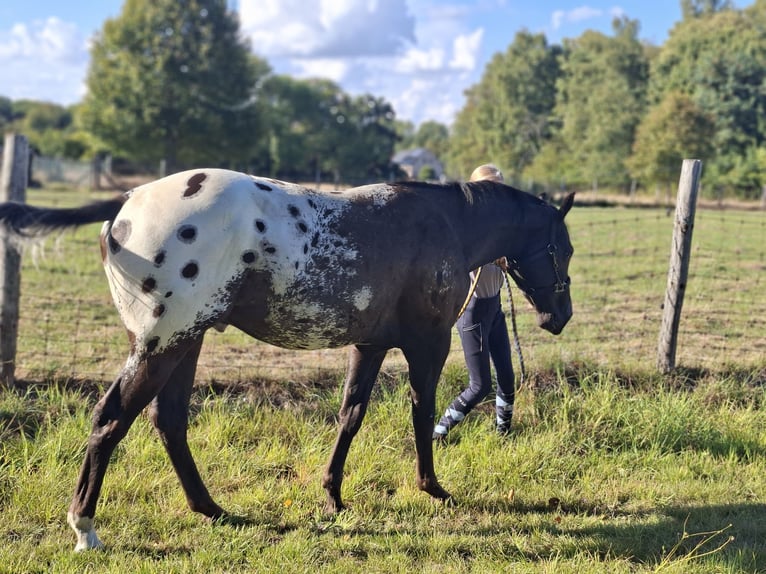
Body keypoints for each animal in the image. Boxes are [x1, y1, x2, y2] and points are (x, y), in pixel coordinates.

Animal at [0, 168, 575, 551]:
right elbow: (420, 412)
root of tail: (127, 200)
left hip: (186, 340)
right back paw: (85, 528)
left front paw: (333, 496)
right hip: (162, 345)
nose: (559, 316)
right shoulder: (427, 344)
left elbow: (350, 416)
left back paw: (213, 510)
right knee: (111, 420)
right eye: (562, 249)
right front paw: (431, 487)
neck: (444, 223)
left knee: (169, 423)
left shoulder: (369, 346)